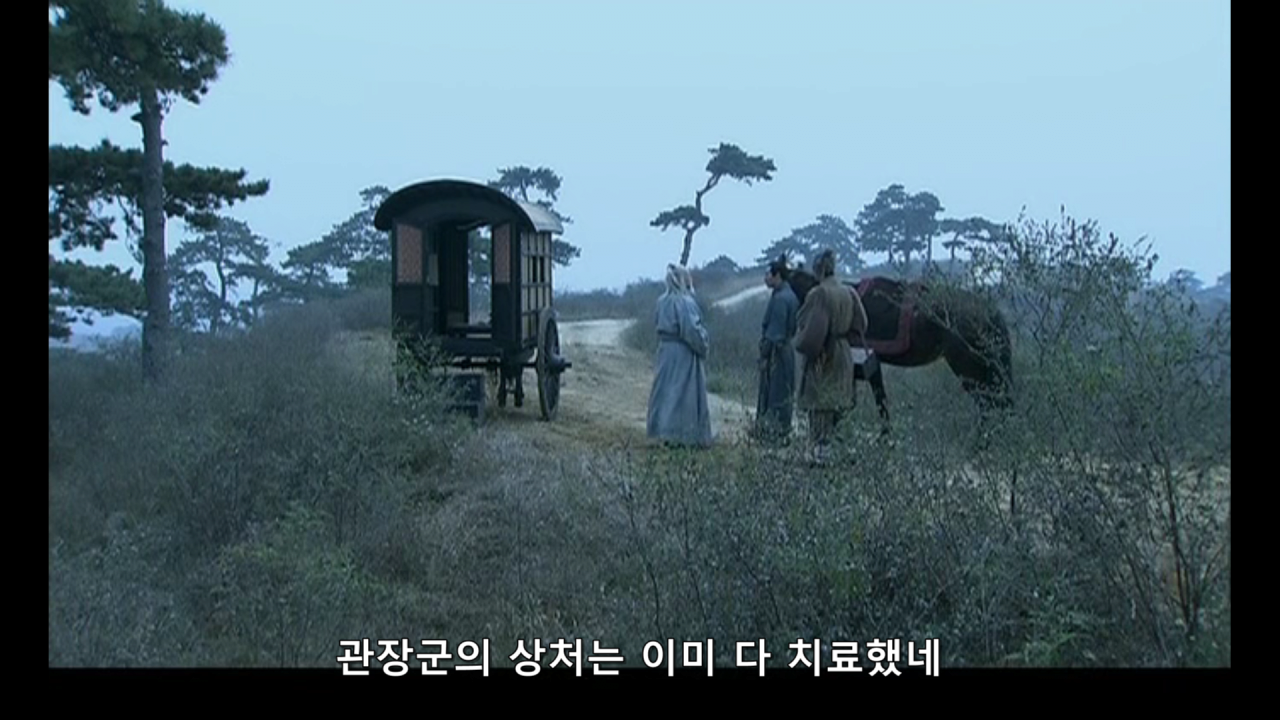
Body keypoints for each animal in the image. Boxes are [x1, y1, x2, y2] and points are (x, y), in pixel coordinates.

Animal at [785, 265, 1015, 438]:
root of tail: (990, 311)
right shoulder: (867, 363)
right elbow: (877, 399)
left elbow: (872, 399)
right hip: (985, 366)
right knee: (996, 401)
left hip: (967, 365)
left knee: (990, 402)